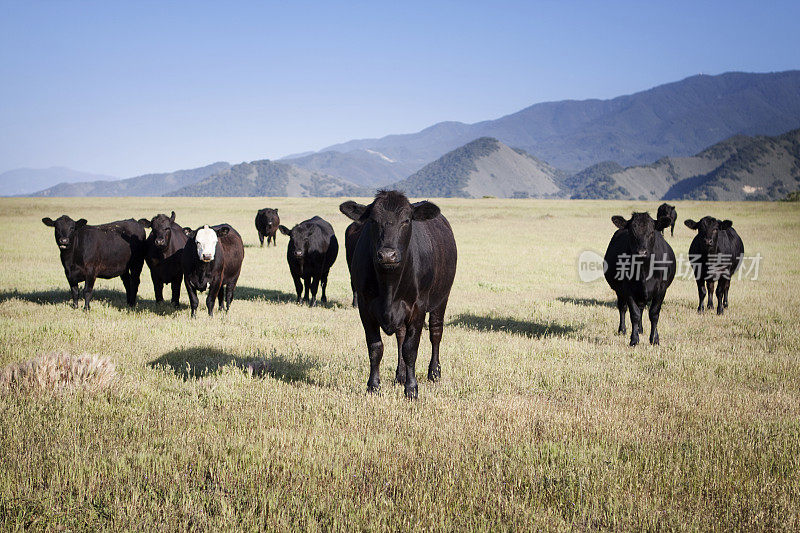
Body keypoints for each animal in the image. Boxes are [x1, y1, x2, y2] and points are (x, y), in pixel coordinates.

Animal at [340, 189, 460, 396]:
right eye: (373, 220)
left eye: (406, 220)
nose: (387, 255)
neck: (389, 285)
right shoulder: (365, 307)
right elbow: (375, 347)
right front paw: (373, 386)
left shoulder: (418, 308)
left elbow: (411, 349)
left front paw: (411, 389)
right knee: (400, 336)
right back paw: (400, 374)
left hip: (442, 298)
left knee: (435, 333)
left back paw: (434, 372)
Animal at [608, 211, 676, 344]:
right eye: (632, 232)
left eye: (651, 232)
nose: (641, 252)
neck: (644, 270)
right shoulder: (627, 289)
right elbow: (634, 314)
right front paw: (634, 340)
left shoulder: (661, 289)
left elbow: (654, 313)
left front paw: (654, 339)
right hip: (620, 291)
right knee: (623, 308)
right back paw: (622, 330)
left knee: (641, 308)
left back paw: (640, 329)